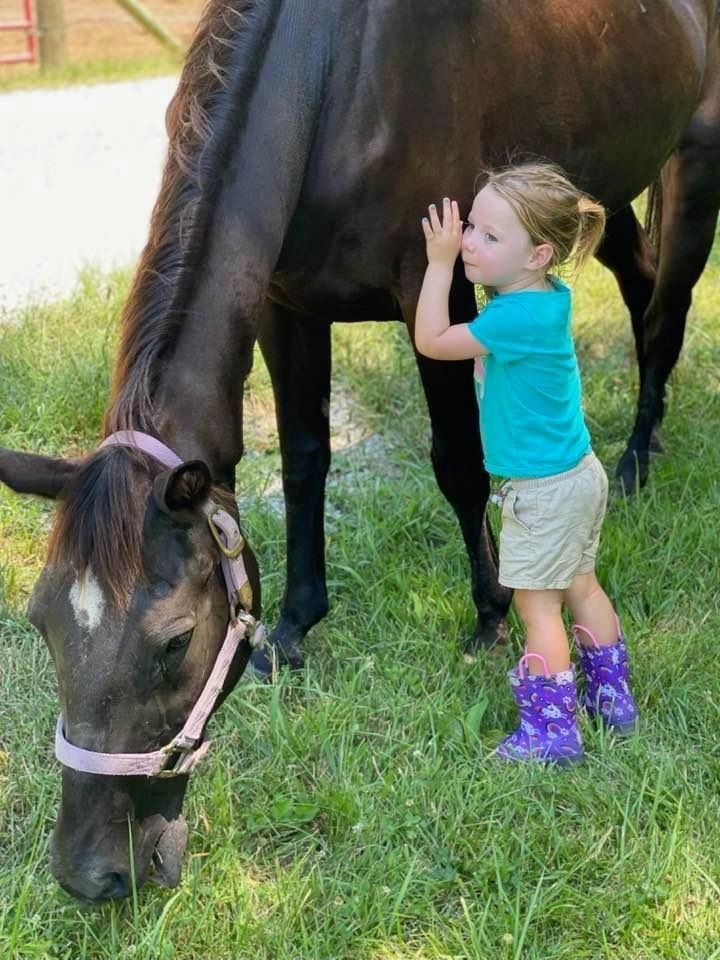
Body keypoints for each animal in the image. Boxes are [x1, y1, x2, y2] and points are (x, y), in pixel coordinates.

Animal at [1, 0, 718, 902]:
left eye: (173, 642)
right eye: (41, 622)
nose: (90, 875)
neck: (336, 71)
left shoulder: (438, 288)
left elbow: (458, 463)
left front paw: (488, 615)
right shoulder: (286, 304)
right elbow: (304, 460)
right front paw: (296, 623)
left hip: (692, 164)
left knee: (666, 309)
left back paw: (633, 462)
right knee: (641, 285)